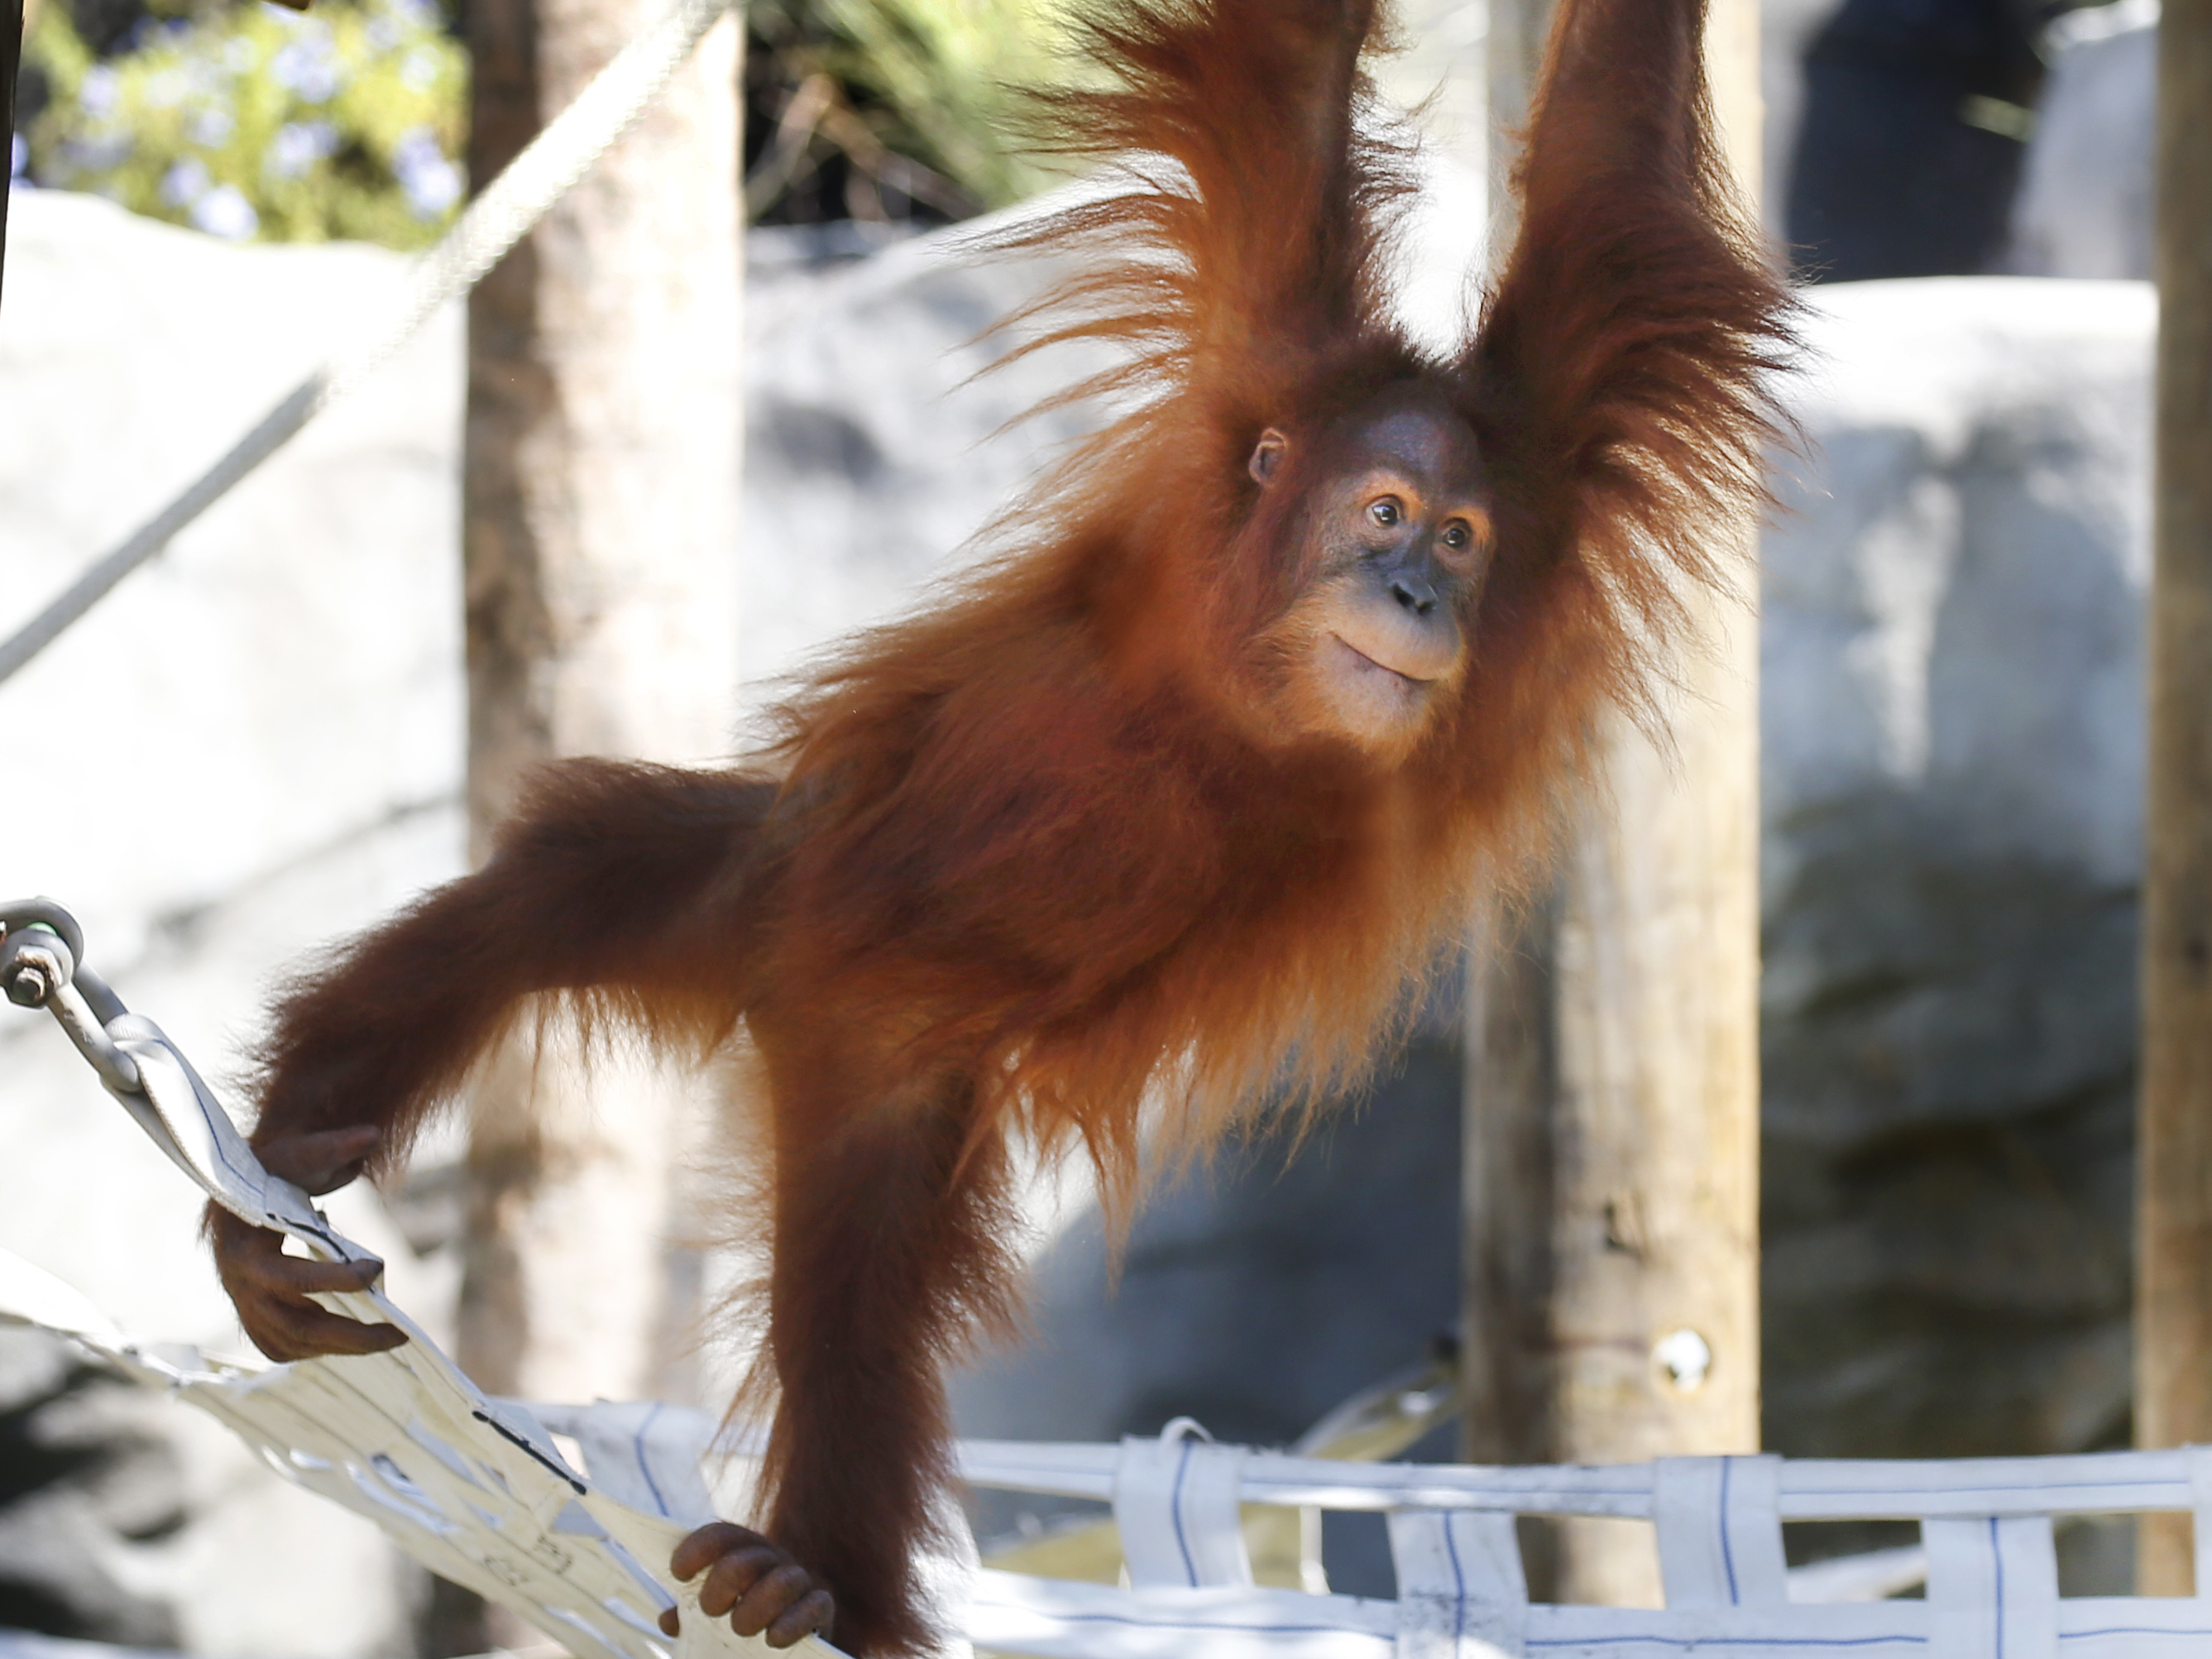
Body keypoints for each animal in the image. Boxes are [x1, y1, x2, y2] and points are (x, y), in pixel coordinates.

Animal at [207, 0, 1794, 1650]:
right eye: (1381, 515)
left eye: (1463, 537)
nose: (1418, 592)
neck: (1251, 684)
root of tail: (786, 995)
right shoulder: (1269, 347)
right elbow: (1321, 82)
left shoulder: (1560, 423)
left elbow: (1607, 170)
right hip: (780, 872)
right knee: (558, 887)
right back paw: (285, 1170)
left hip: (889, 1082)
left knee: (855, 1332)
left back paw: (806, 1573)